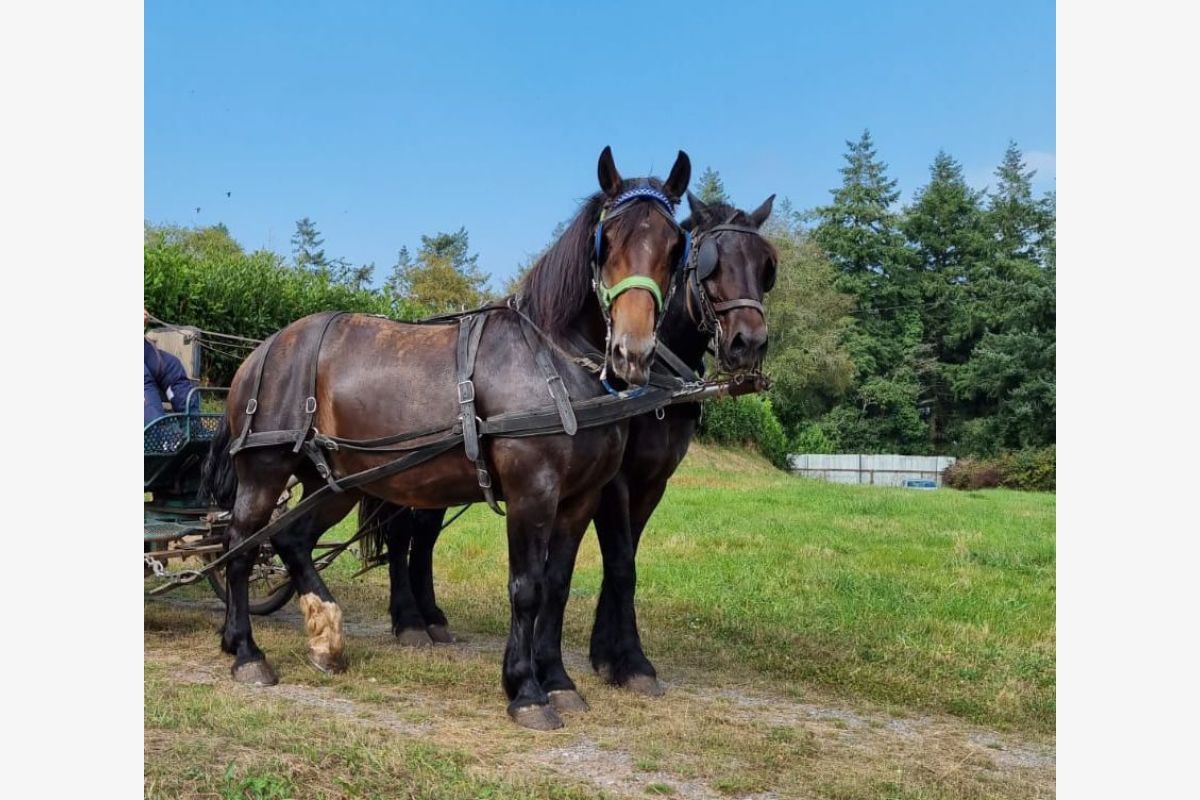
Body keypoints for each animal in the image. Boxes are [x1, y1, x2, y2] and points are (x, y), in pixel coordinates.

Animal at [201, 146, 692, 730]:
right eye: (609, 239)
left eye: (674, 245)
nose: (631, 353)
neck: (554, 357)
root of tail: (263, 350)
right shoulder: (532, 491)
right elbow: (527, 588)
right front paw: (525, 689)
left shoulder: (581, 498)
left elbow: (557, 586)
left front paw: (558, 680)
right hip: (265, 469)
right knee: (238, 546)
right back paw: (245, 650)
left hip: (334, 481)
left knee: (291, 540)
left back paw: (325, 636)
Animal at [363, 190, 779, 697]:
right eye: (708, 264)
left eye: (765, 265)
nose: (748, 343)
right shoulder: (613, 483)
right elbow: (621, 565)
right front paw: (630, 661)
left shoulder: (650, 484)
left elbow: (622, 562)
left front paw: (607, 653)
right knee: (403, 534)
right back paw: (409, 621)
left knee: (422, 536)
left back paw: (432, 617)